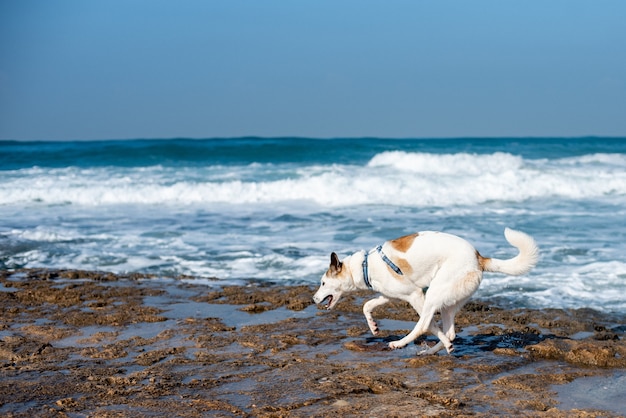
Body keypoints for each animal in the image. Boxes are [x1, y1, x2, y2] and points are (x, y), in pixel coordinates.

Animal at [312, 227, 536, 354]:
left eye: (322, 283)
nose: (313, 299)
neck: (365, 266)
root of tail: (478, 257)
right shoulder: (389, 296)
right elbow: (367, 306)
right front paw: (374, 327)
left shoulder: (415, 295)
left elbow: (429, 326)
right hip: (448, 301)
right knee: (451, 332)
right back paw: (432, 351)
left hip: (434, 293)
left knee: (424, 325)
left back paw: (399, 344)